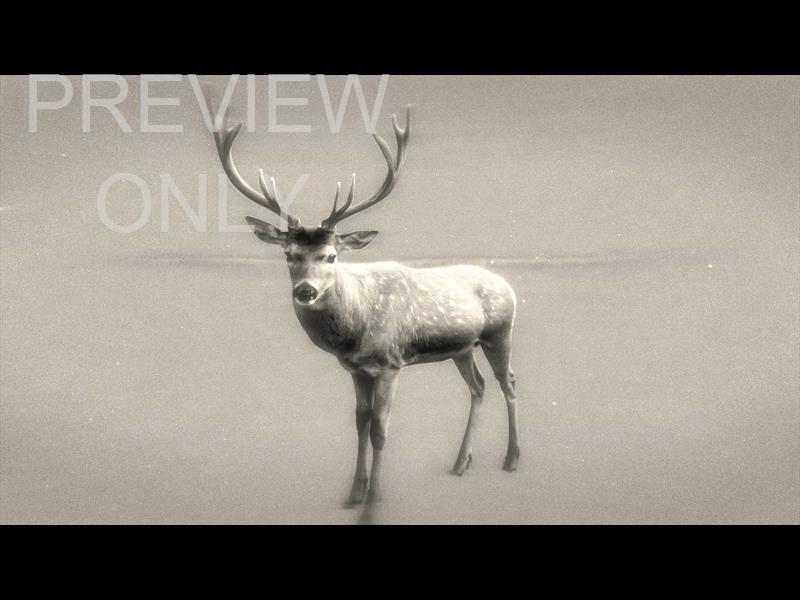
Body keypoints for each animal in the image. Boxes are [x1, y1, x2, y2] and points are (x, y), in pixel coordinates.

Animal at [209, 102, 520, 512]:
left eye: (331, 256)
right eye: (289, 254)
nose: (305, 290)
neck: (356, 331)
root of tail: (507, 284)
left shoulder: (390, 363)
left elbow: (380, 429)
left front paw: (374, 497)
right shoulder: (356, 369)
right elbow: (360, 422)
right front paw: (354, 493)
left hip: (500, 332)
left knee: (508, 382)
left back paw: (511, 458)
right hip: (462, 347)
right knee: (479, 386)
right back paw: (460, 463)